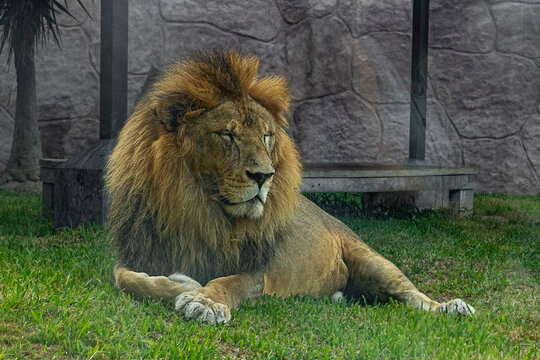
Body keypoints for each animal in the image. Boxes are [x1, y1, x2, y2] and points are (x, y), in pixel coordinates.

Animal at [104, 50, 472, 324]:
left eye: (266, 136)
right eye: (228, 135)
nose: (264, 176)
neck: (198, 209)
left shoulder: (256, 270)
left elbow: (227, 281)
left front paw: (203, 300)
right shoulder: (138, 250)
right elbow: (125, 279)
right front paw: (182, 283)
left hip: (371, 259)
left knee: (411, 294)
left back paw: (451, 307)